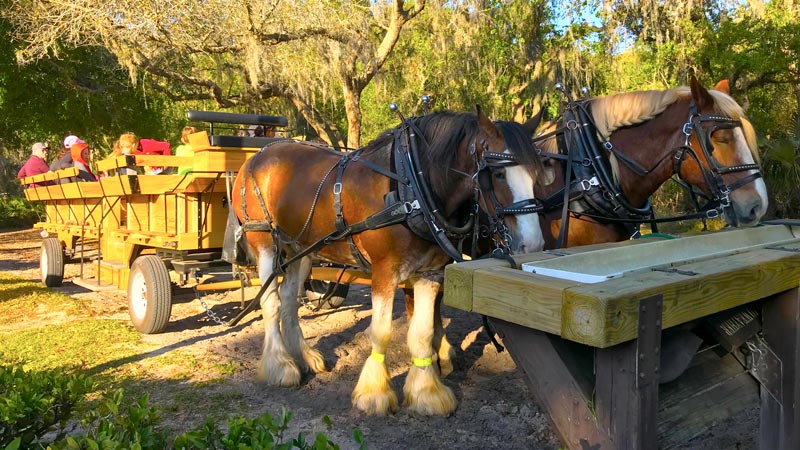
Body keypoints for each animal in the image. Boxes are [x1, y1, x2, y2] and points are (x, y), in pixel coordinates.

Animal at [228, 107, 548, 416]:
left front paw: (427, 393)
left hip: (301, 248)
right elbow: (380, 332)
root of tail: (259, 155)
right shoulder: (384, 272)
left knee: (289, 299)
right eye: (497, 174)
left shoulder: (430, 273)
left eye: (536, 175)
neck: (413, 189)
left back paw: (304, 356)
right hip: (265, 243)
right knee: (271, 302)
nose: (531, 244)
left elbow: (422, 332)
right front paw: (375, 394)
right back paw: (281, 365)